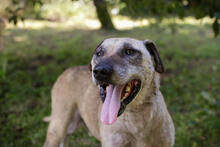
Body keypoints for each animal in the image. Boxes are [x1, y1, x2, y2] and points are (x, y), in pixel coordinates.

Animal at [43, 38, 174, 147]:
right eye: (99, 53)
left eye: (129, 51)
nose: (100, 71)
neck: (136, 114)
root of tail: (68, 70)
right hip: (57, 129)